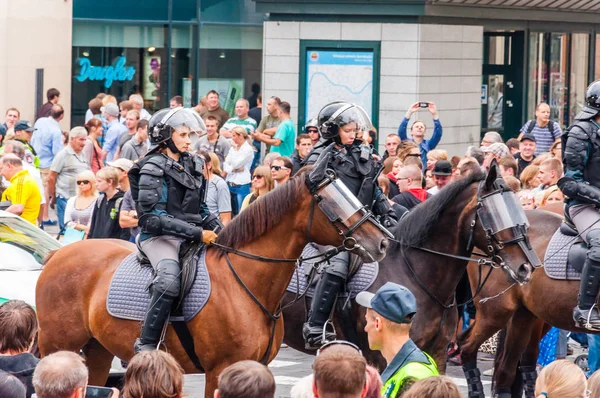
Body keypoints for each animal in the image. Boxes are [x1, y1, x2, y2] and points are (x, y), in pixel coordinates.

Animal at [35, 166, 390, 398]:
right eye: (332, 201)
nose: (382, 241)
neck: (246, 281)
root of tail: (57, 253)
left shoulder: (256, 366)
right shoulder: (219, 370)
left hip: (96, 351)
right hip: (59, 344)